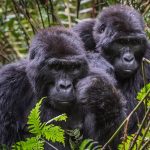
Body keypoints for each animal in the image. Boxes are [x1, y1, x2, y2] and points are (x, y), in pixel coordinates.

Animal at [73, 4, 150, 134]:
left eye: (135, 43)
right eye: (121, 42)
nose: (128, 58)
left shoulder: (148, 56)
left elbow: (127, 124)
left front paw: (97, 88)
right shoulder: (80, 32)